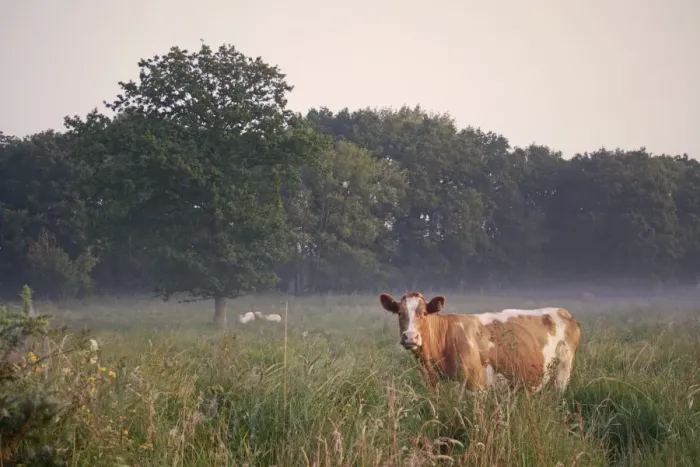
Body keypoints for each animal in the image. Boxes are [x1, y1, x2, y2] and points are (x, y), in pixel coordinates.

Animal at [379, 292, 581, 393]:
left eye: (424, 313)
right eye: (399, 313)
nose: (410, 337)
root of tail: (563, 311)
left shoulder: (477, 386)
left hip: (562, 373)